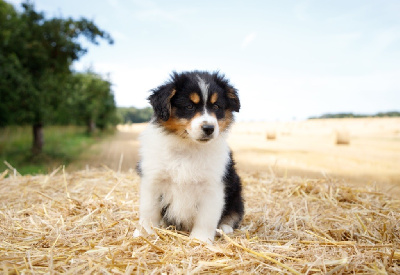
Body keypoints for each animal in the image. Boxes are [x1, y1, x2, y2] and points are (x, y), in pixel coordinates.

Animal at [136, 71, 244, 244]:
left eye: (216, 106)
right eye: (189, 106)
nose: (209, 128)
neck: (188, 147)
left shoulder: (213, 186)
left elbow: (206, 218)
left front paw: (200, 240)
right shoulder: (153, 180)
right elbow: (149, 211)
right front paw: (145, 233)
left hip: (236, 193)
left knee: (234, 213)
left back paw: (225, 227)